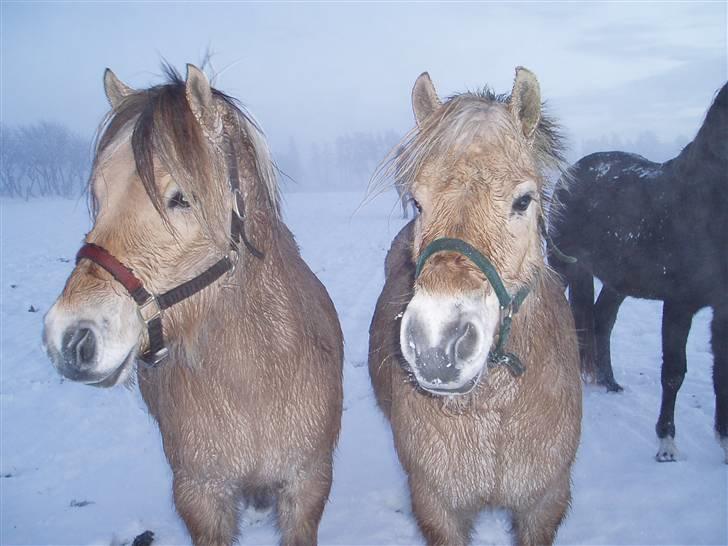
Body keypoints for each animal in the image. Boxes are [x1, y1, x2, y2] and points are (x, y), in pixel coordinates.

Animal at [43, 65, 344, 544]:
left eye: (181, 197)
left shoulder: (307, 485)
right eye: (98, 194)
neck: (253, 383)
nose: (71, 338)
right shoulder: (200, 495)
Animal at [370, 69, 580, 544]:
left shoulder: (544, 504)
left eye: (523, 201)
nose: (437, 346)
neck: (494, 413)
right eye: (418, 201)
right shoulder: (438, 506)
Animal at [552, 83, 728, 462]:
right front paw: (666, 443)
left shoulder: (724, 309)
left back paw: (610, 383)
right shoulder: (679, 303)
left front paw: (724, 441)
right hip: (564, 268)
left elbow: (721, 370)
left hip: (617, 282)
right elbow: (674, 372)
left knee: (602, 321)